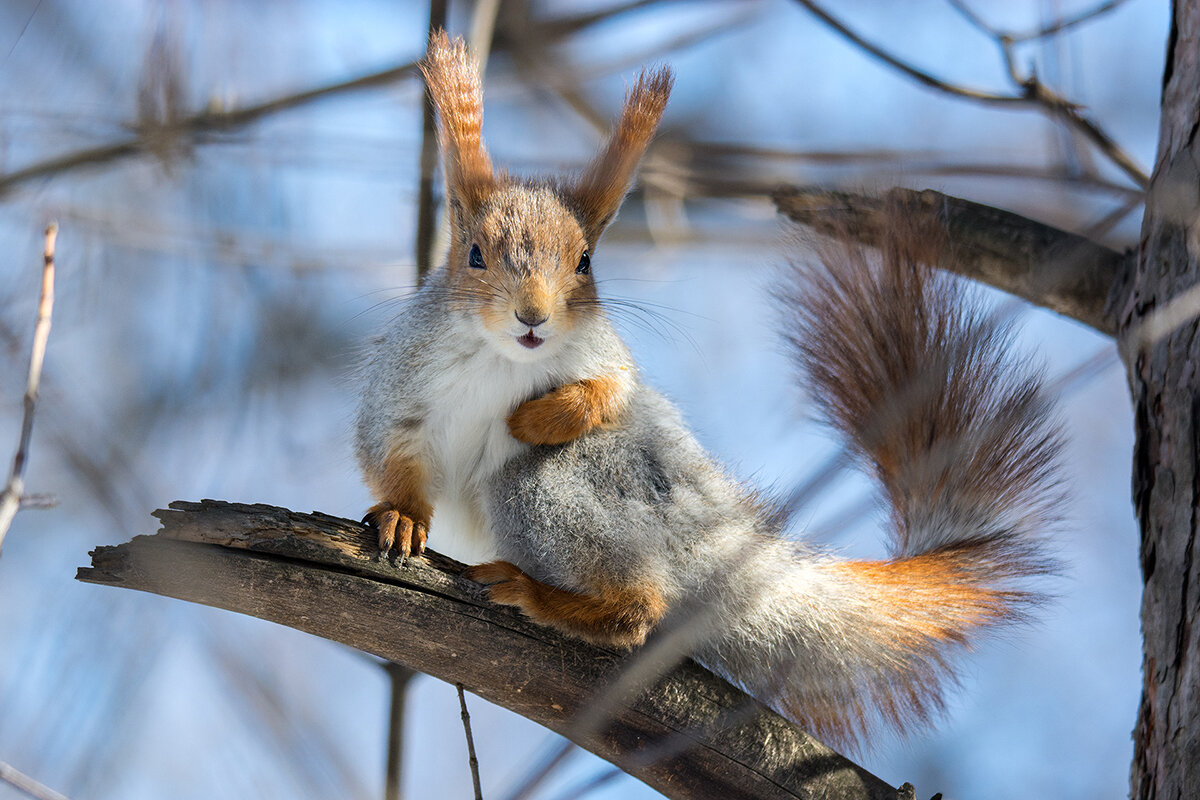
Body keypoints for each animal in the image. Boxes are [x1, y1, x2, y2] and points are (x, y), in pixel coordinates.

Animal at [350, 29, 1065, 743]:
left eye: (584, 262)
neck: (508, 360)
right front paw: (402, 518)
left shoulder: (606, 358)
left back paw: (545, 594)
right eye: (474, 254)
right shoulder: (405, 380)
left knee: (640, 607)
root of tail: (712, 538)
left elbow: (612, 394)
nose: (534, 316)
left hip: (563, 488)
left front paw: (535, 419)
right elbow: (391, 448)